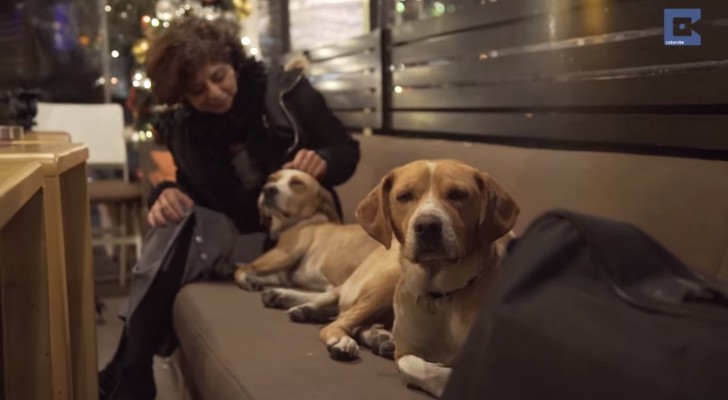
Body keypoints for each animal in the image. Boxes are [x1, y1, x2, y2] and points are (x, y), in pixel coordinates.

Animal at [235, 169, 384, 322]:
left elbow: (244, 268)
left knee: (342, 295)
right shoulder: (284, 275)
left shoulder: (284, 252)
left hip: (332, 261)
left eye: (297, 183)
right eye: (272, 178)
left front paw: (245, 278)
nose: (268, 189)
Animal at [356, 159, 520, 396]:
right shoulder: (404, 352)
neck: (439, 297)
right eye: (404, 196)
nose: (427, 226)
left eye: (458, 194)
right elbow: (416, 366)